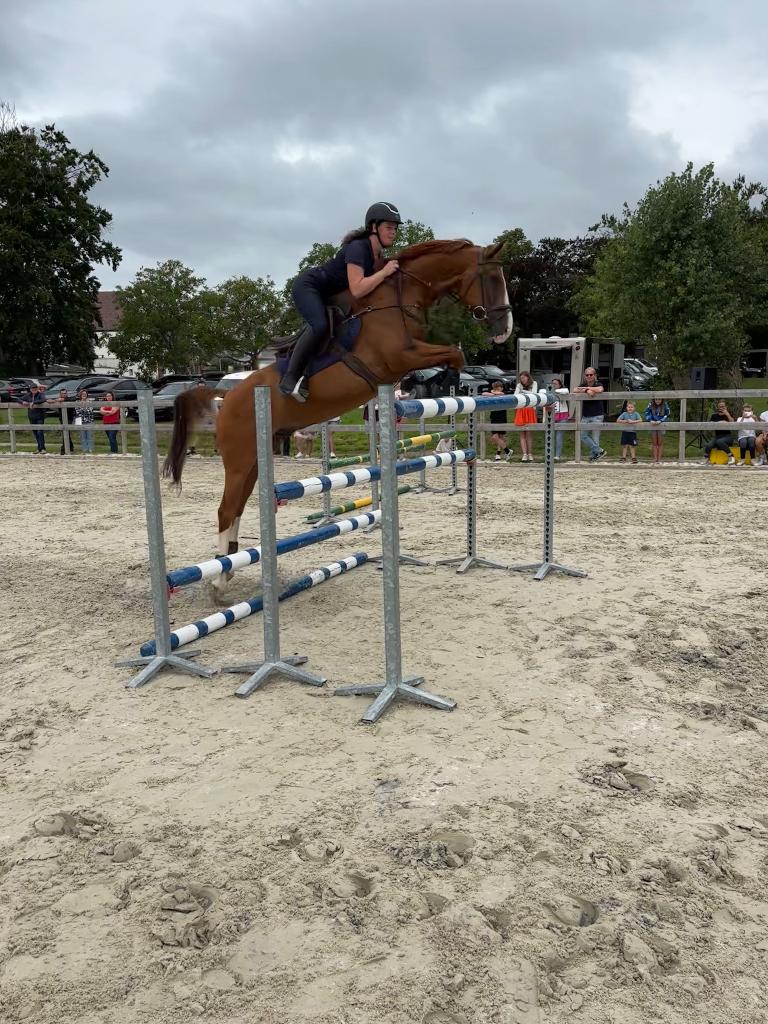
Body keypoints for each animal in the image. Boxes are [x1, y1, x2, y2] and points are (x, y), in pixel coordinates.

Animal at [163, 238, 512, 596]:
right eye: (492, 279)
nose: (504, 331)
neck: (395, 301)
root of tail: (224, 397)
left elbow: (453, 356)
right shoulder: (401, 356)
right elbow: (455, 355)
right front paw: (442, 384)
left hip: (253, 462)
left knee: (237, 509)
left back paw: (229, 568)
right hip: (239, 460)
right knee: (226, 509)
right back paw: (219, 579)